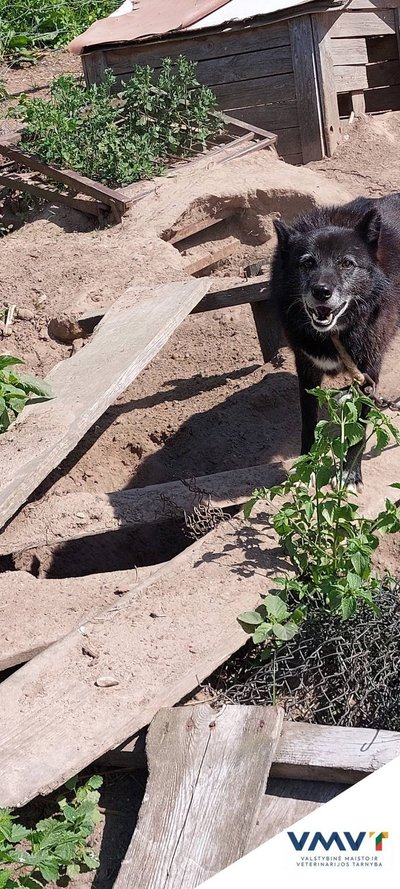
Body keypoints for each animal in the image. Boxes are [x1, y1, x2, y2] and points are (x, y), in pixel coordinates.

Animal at [272, 193, 400, 486]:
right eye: (307, 263)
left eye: (346, 263)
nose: (322, 292)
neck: (335, 335)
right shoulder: (306, 369)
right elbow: (308, 422)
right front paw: (307, 467)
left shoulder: (368, 372)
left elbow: (359, 428)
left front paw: (349, 474)